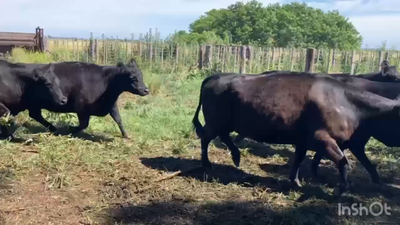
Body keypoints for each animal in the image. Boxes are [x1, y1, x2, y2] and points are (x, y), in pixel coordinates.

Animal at [19, 59, 149, 138]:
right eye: (133, 78)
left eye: (141, 75)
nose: (146, 90)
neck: (106, 81)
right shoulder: (81, 109)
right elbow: (84, 124)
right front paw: (71, 129)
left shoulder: (112, 105)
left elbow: (119, 120)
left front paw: (126, 135)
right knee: (35, 114)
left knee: (35, 114)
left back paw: (52, 127)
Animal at [191, 72, 400, 195]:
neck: (349, 104)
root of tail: (215, 76)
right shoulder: (322, 138)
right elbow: (343, 161)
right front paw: (341, 188)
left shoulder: (306, 140)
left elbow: (299, 159)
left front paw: (296, 182)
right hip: (216, 121)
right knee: (206, 138)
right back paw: (207, 164)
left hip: (224, 123)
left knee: (222, 136)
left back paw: (235, 157)